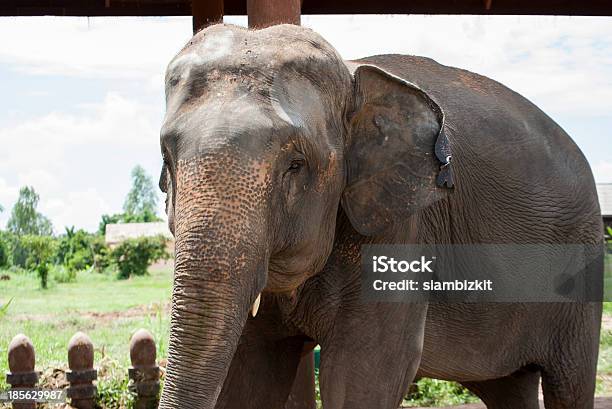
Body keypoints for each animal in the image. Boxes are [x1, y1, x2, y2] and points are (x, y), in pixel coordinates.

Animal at [157, 23, 604, 408]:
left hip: (581, 272)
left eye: (296, 165)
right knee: (508, 386)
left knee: (568, 385)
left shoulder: (403, 225)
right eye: (167, 157)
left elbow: (363, 371)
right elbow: (250, 367)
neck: (350, 70)